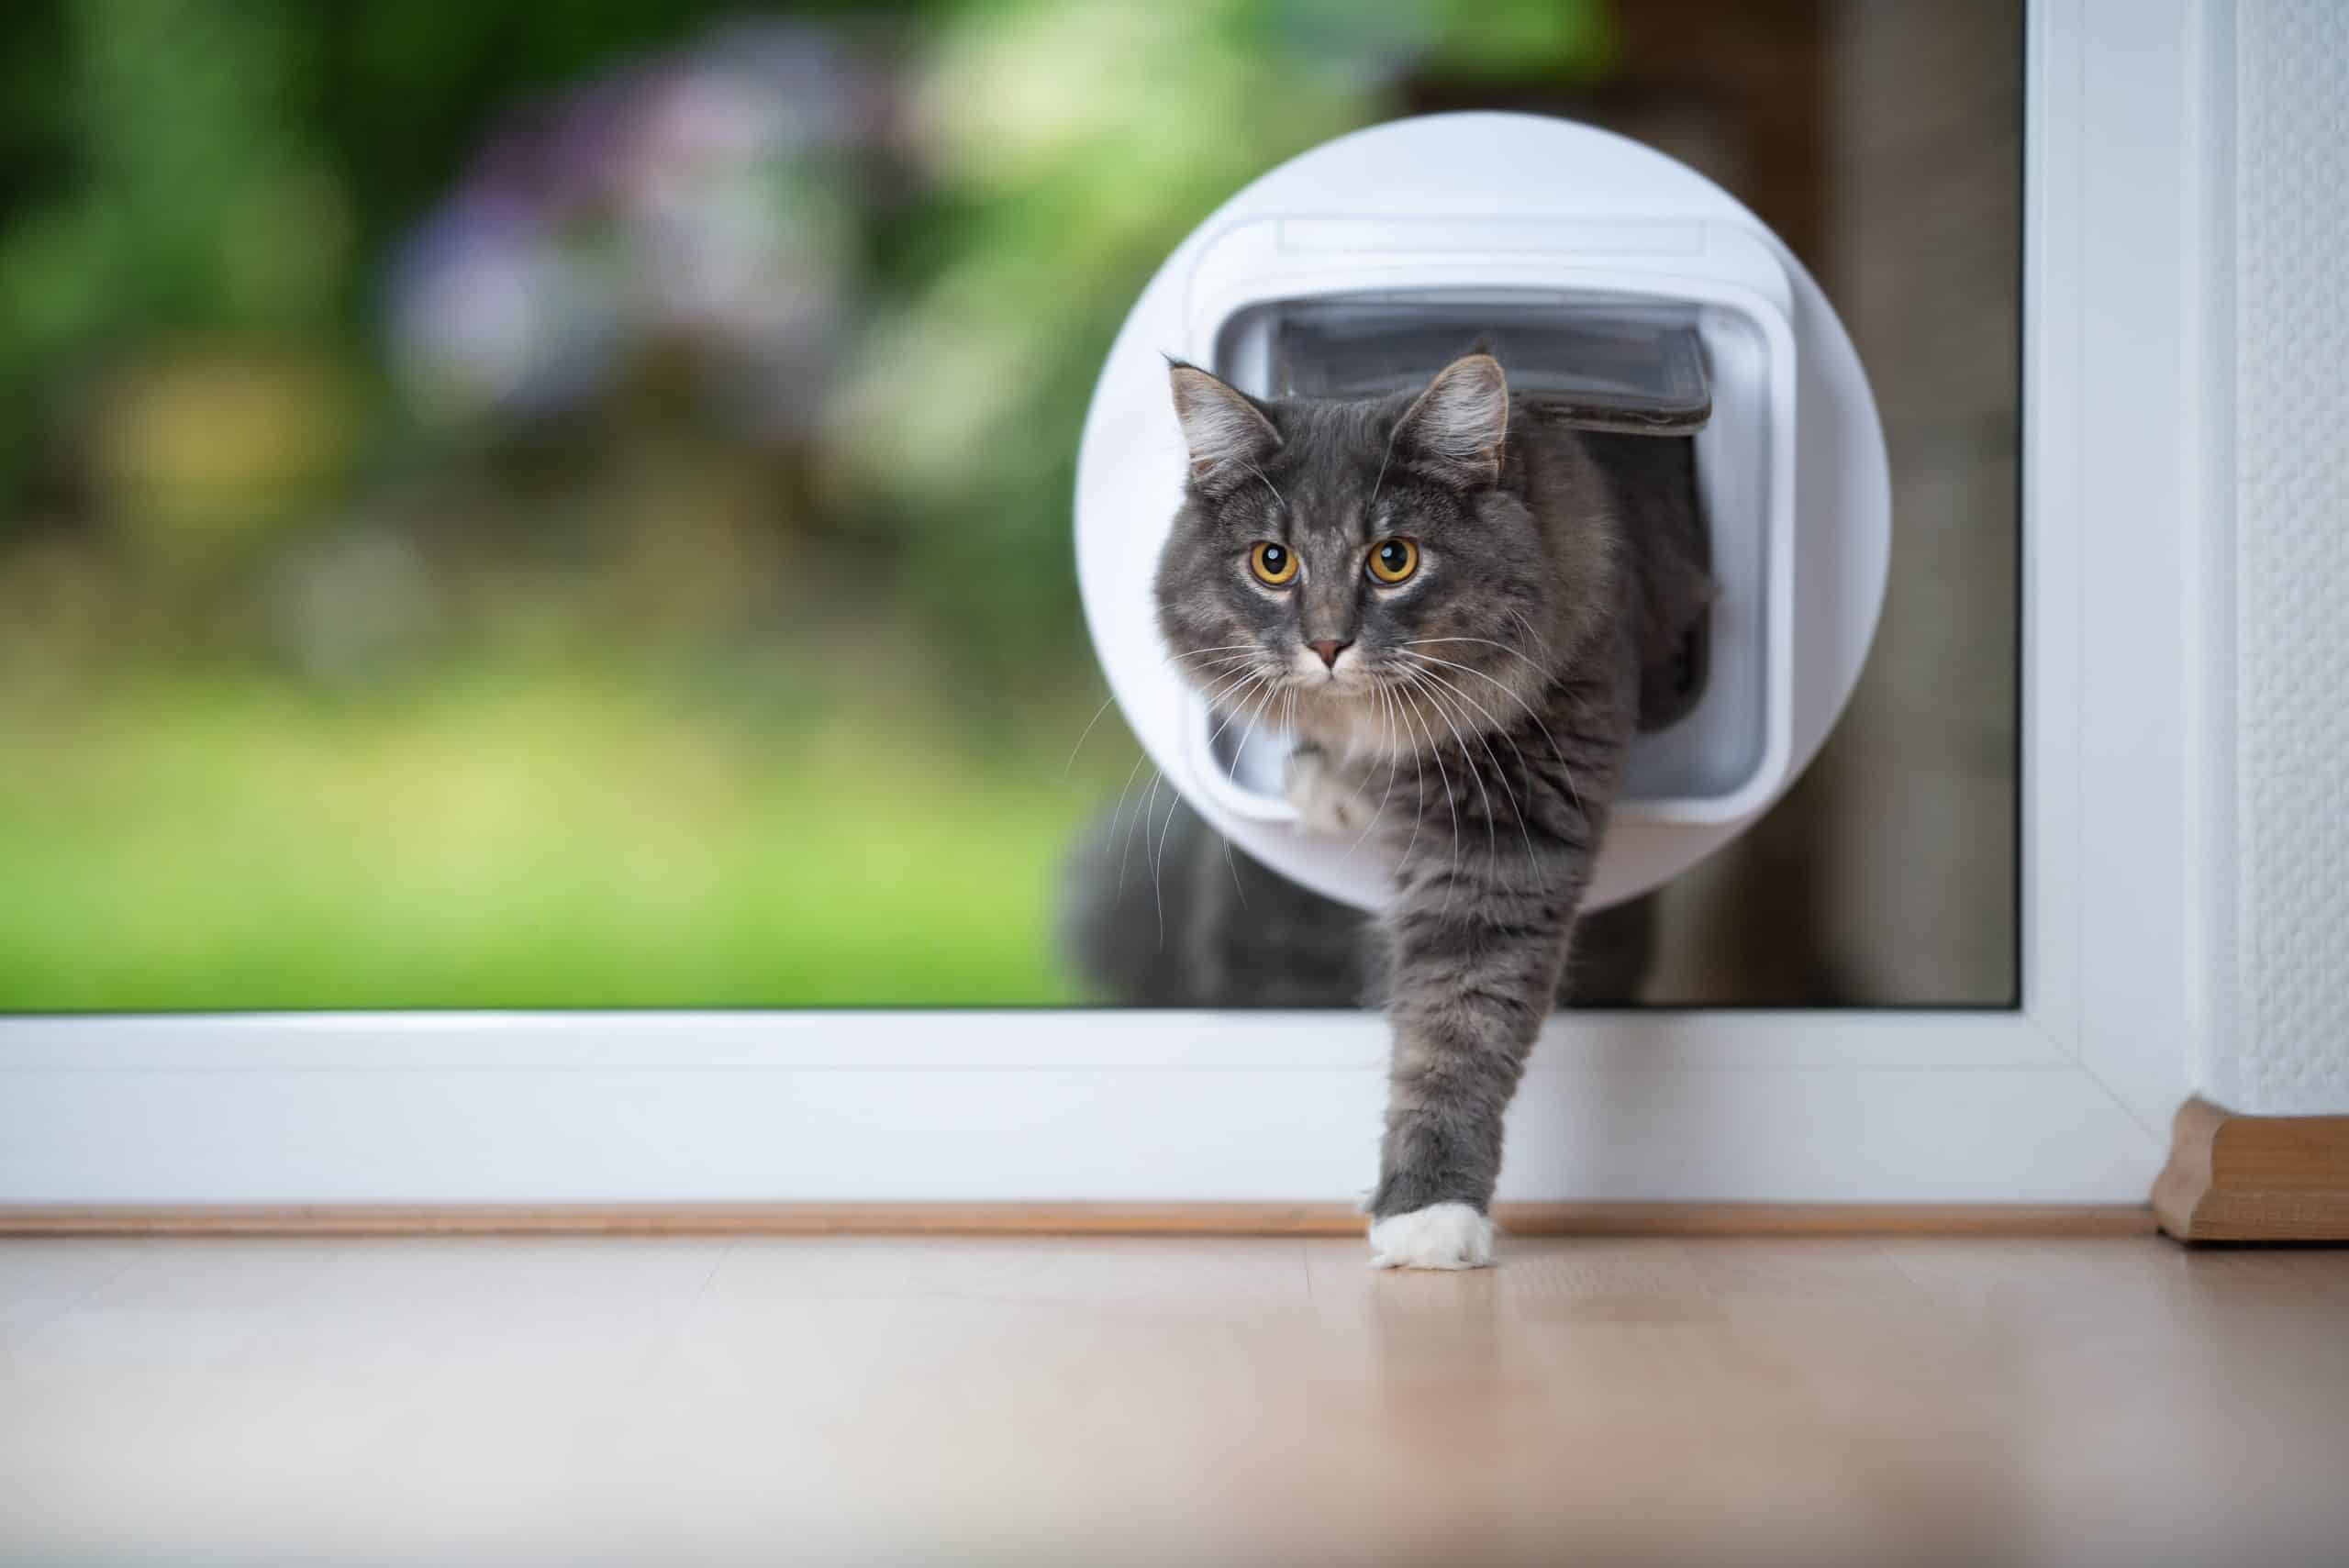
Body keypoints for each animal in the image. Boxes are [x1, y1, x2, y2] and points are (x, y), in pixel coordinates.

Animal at [1141, 350, 1709, 1267]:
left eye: (1393, 558)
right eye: (1273, 562)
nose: (1327, 645)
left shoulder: (1503, 846)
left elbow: (1453, 1034)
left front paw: (1429, 1214)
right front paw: (1325, 782)